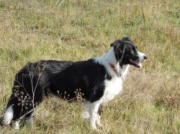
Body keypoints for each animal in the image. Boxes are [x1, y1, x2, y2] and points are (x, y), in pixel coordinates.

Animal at [2, 36, 146, 129]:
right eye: (132, 51)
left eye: (137, 48)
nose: (146, 57)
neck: (112, 65)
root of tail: (25, 68)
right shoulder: (94, 98)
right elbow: (93, 116)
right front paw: (94, 129)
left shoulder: (100, 99)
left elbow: (98, 115)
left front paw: (100, 127)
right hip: (30, 97)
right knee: (17, 115)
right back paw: (16, 129)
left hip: (35, 98)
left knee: (28, 115)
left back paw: (31, 128)